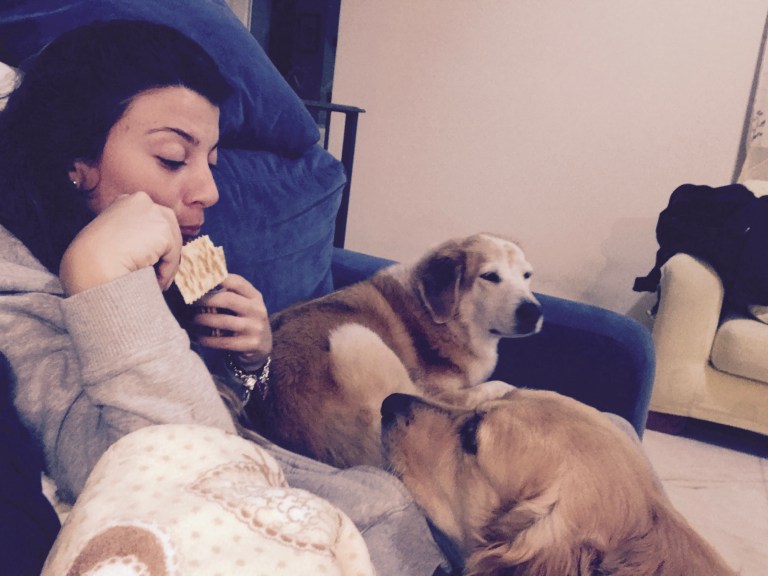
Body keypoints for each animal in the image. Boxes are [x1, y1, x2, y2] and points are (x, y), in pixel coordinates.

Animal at [237, 233, 543, 469]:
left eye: (527, 275)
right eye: (490, 276)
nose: (534, 311)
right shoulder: (438, 392)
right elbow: (493, 386)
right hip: (353, 336)